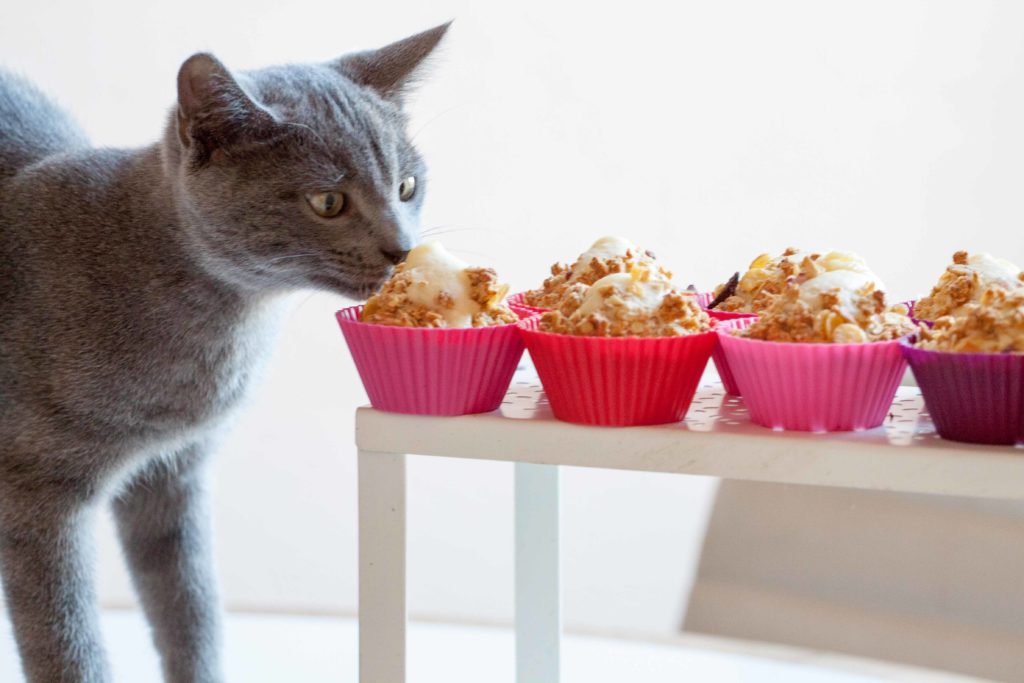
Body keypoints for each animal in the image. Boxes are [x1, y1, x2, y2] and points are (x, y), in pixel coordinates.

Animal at [1, 22, 448, 683]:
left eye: (407, 186)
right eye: (328, 202)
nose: (402, 248)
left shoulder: (175, 474)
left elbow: (192, 609)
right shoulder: (36, 490)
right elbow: (64, 639)